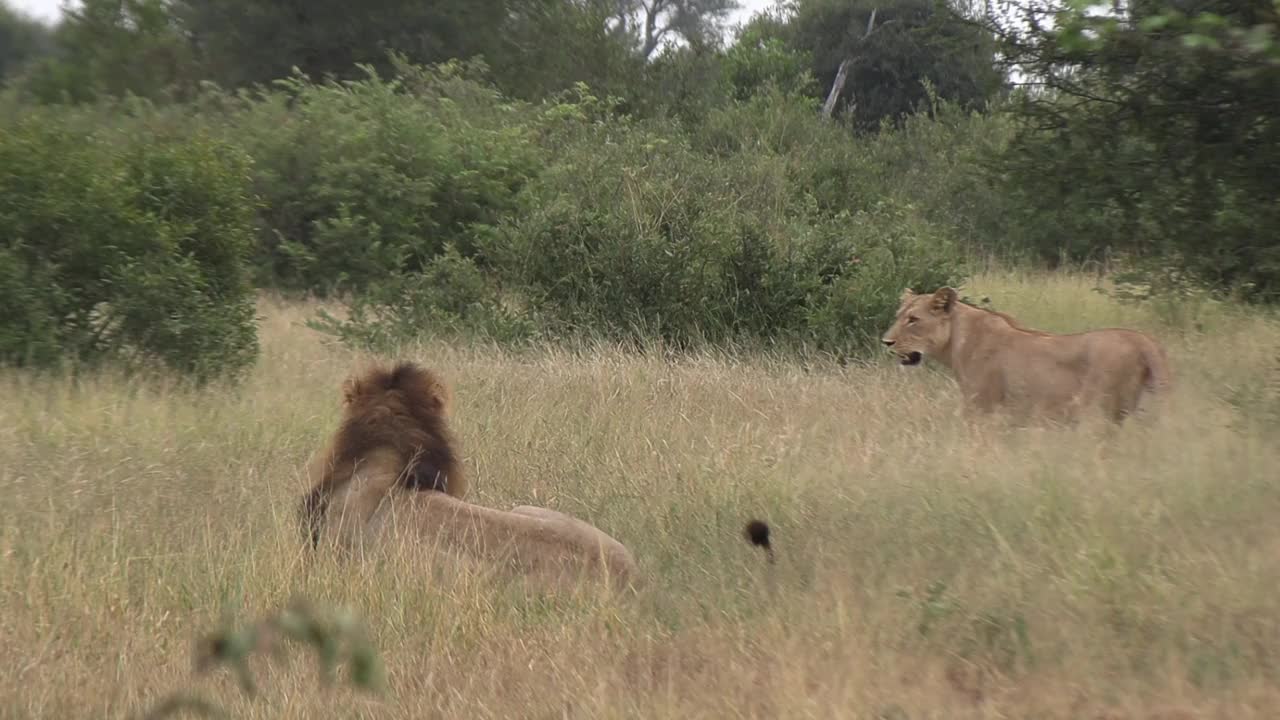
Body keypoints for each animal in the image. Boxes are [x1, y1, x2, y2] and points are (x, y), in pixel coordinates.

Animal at [880, 284, 1172, 420]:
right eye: (899, 316)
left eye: (913, 320)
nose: (886, 342)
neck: (955, 343)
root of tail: (1142, 338)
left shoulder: (981, 406)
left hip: (1099, 411)